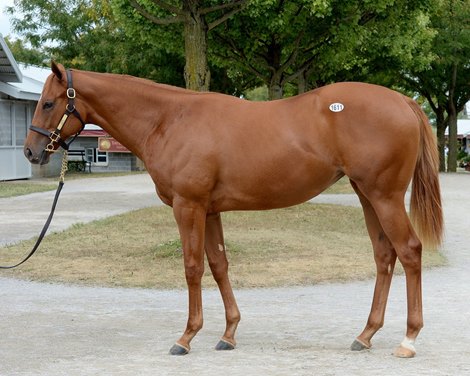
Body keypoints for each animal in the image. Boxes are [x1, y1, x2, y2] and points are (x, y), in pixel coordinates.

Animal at [24, 62, 444, 358]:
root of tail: (402, 100)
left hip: (384, 196)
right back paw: (365, 334)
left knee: (409, 251)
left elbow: (192, 267)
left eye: (48, 103)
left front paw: (186, 337)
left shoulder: (188, 207)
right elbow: (219, 264)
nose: (31, 151)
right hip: (366, 195)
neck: (169, 120)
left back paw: (408, 340)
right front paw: (228, 334)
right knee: (384, 255)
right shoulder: (209, 210)